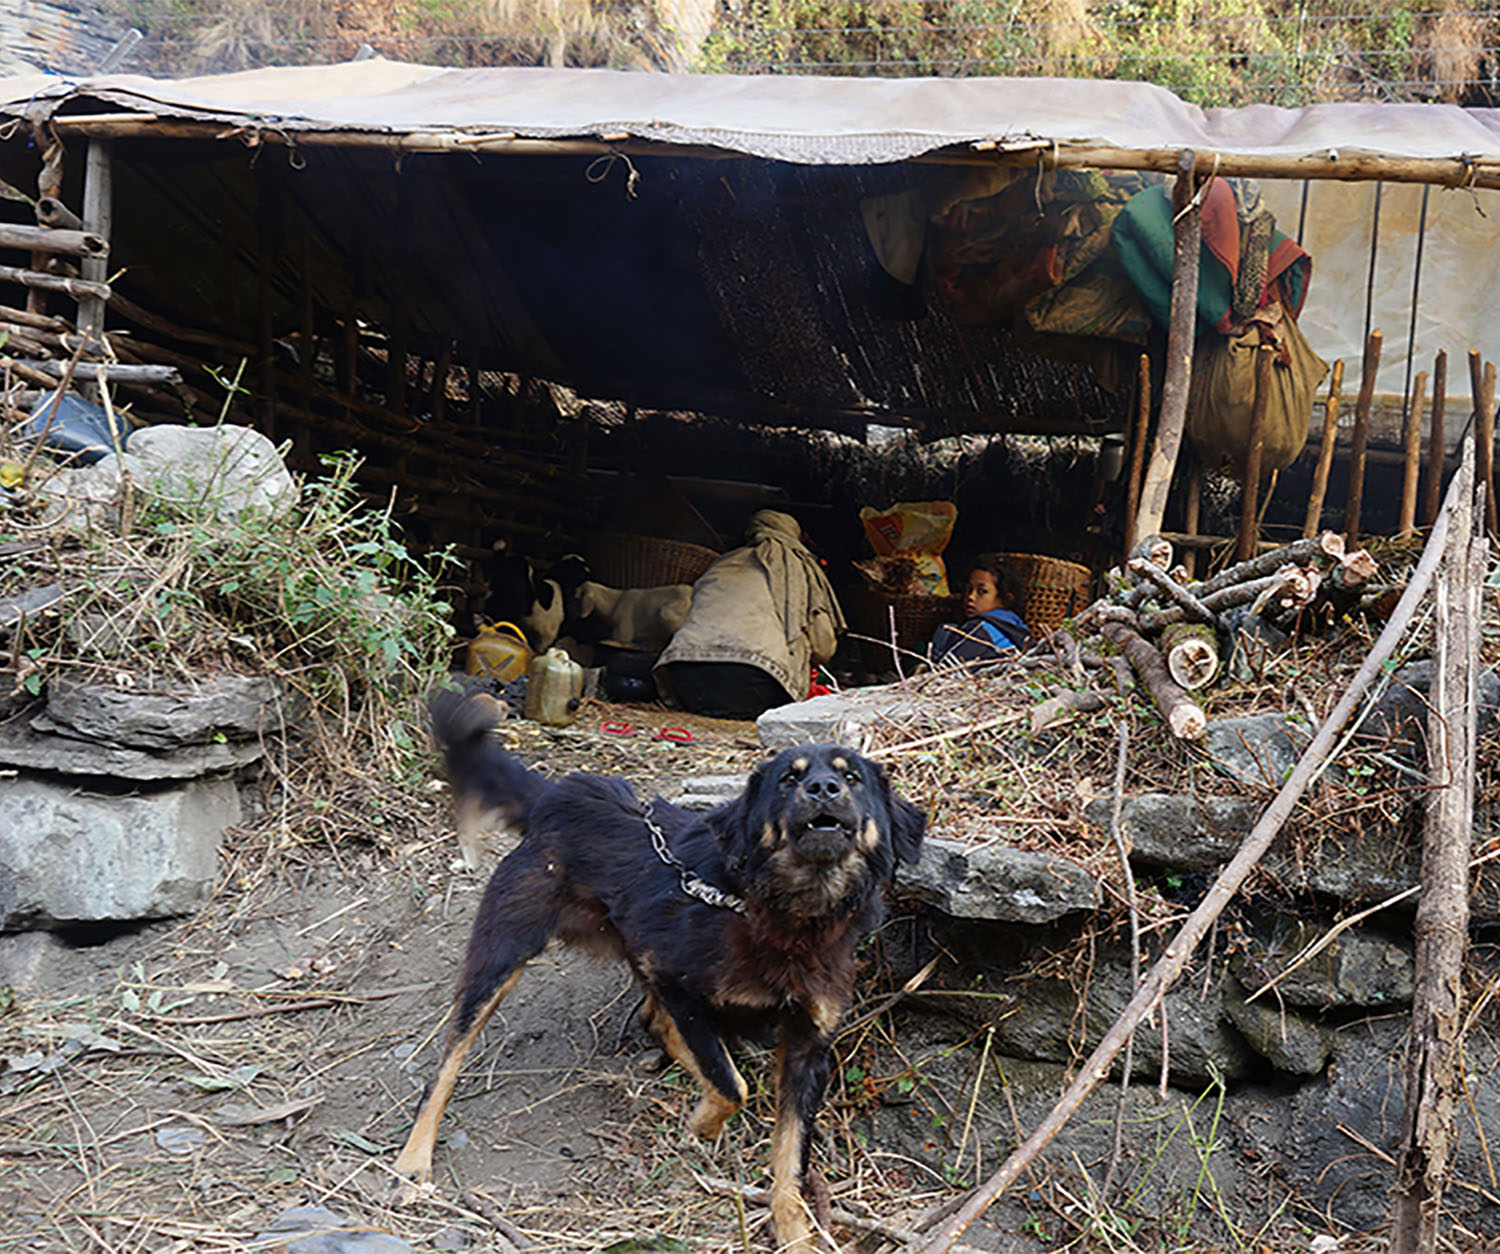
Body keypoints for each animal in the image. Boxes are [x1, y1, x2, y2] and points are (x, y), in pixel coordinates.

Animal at [393, 690, 918, 1248]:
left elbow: (790, 1153)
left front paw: (793, 1226)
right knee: (446, 1066)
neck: (787, 913)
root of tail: (560, 793)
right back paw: (413, 1161)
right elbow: (731, 1086)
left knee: (658, 1023)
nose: (823, 787)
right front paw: (703, 1125)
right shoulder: (676, 980)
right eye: (788, 780)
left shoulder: (808, 1044)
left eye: (852, 777)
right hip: (501, 954)